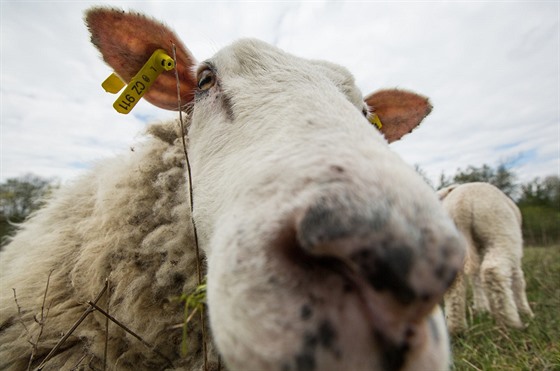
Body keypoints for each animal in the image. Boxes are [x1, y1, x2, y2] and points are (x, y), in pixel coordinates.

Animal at [438, 183, 532, 334]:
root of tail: (461, 203)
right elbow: (518, 280)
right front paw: (525, 312)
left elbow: (476, 277)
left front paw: (482, 308)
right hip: (501, 233)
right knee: (493, 271)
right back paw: (511, 323)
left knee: (455, 283)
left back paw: (457, 328)